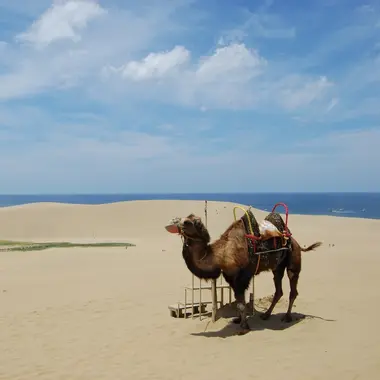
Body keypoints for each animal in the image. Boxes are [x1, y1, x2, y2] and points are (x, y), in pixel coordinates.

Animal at [165, 208, 322, 332]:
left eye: (187, 222)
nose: (173, 221)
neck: (221, 254)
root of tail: (295, 241)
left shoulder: (242, 278)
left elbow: (241, 303)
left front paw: (244, 327)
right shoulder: (231, 278)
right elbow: (238, 301)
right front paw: (239, 321)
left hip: (293, 261)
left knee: (292, 287)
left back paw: (287, 317)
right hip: (277, 267)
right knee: (279, 290)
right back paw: (266, 315)